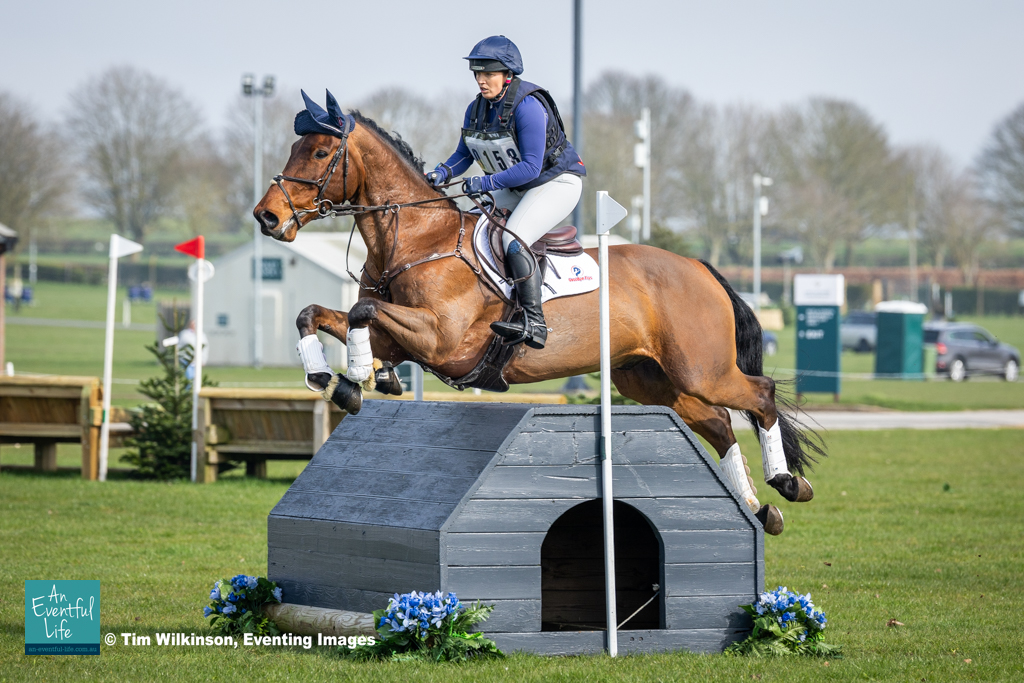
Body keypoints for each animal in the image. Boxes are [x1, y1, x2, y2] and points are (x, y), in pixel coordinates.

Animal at [254, 99, 825, 536]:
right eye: (293, 149)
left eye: (321, 152)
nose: (267, 217)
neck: (417, 238)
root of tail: (699, 267)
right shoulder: (406, 338)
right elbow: (318, 314)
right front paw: (337, 376)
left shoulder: (442, 339)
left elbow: (361, 308)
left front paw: (355, 379)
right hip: (649, 379)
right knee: (720, 424)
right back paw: (758, 509)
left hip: (701, 369)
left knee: (759, 396)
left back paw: (786, 484)